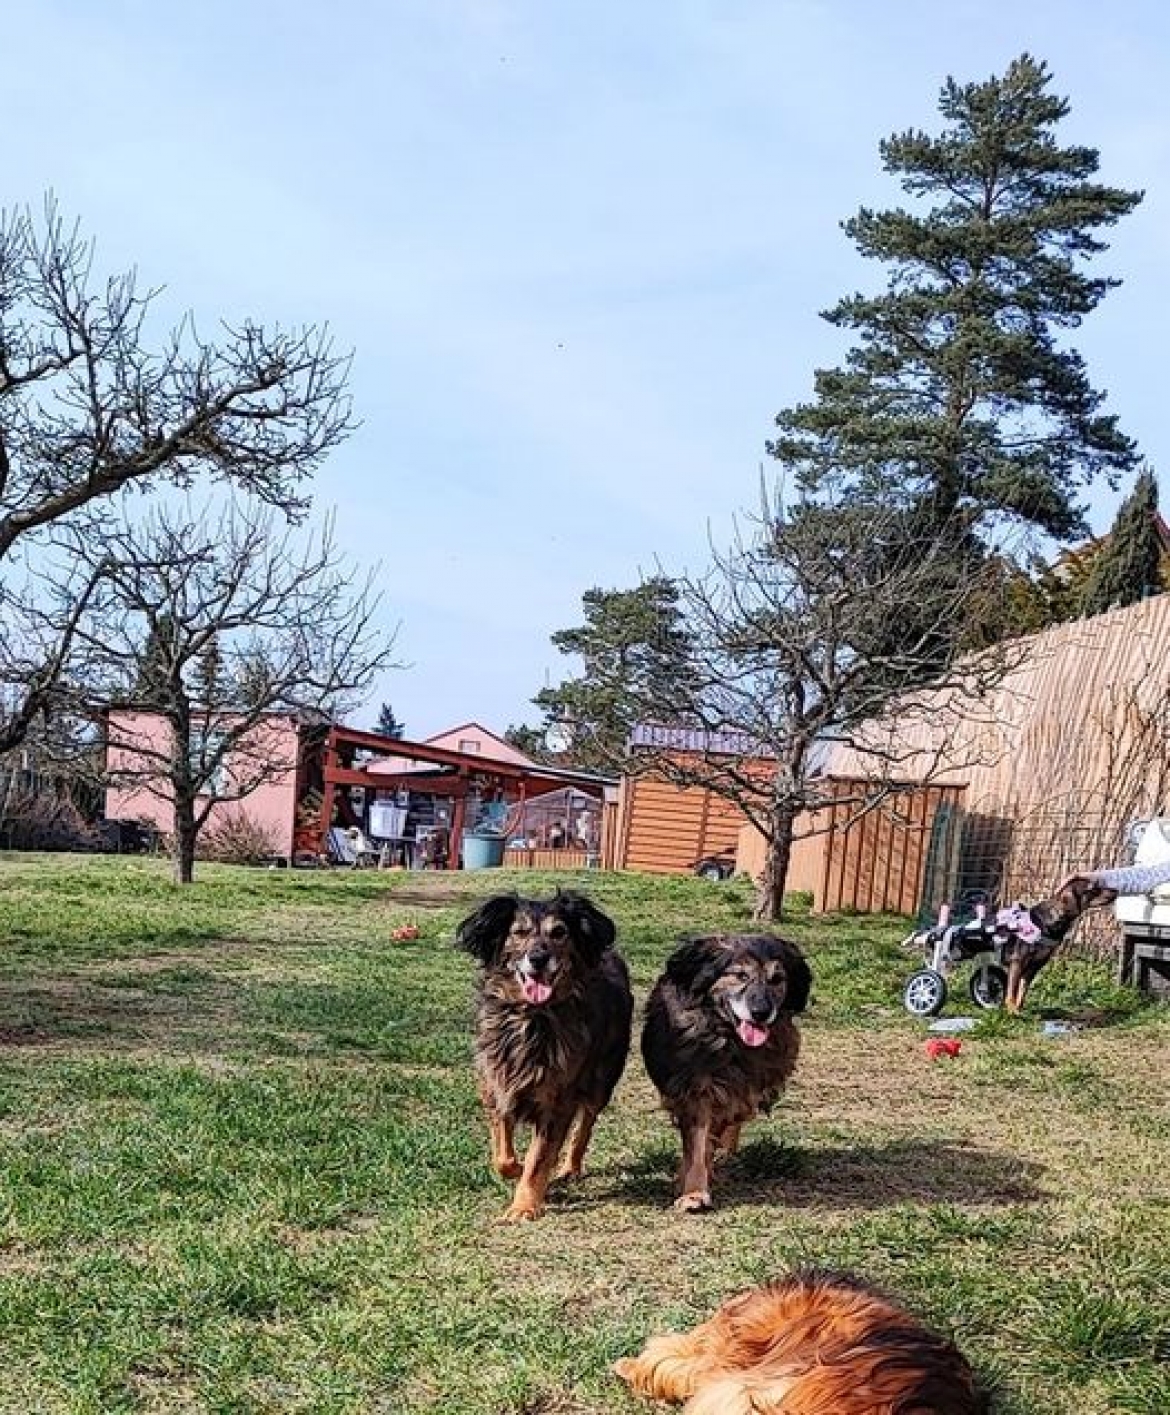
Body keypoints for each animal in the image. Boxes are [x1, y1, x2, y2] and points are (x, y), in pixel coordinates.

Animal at [452, 888, 630, 1222]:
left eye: (558, 932)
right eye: (519, 932)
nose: (537, 958)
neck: (531, 1017)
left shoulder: (556, 1101)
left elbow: (538, 1160)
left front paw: (523, 1206)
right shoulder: (497, 1086)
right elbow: (503, 1156)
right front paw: (516, 1168)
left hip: (602, 1080)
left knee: (585, 1125)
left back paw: (570, 1167)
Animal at [639, 933, 814, 1211]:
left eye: (777, 979)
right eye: (740, 975)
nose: (761, 1013)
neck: (730, 1039)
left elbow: (720, 1126)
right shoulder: (695, 1089)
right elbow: (698, 1142)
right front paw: (694, 1192)